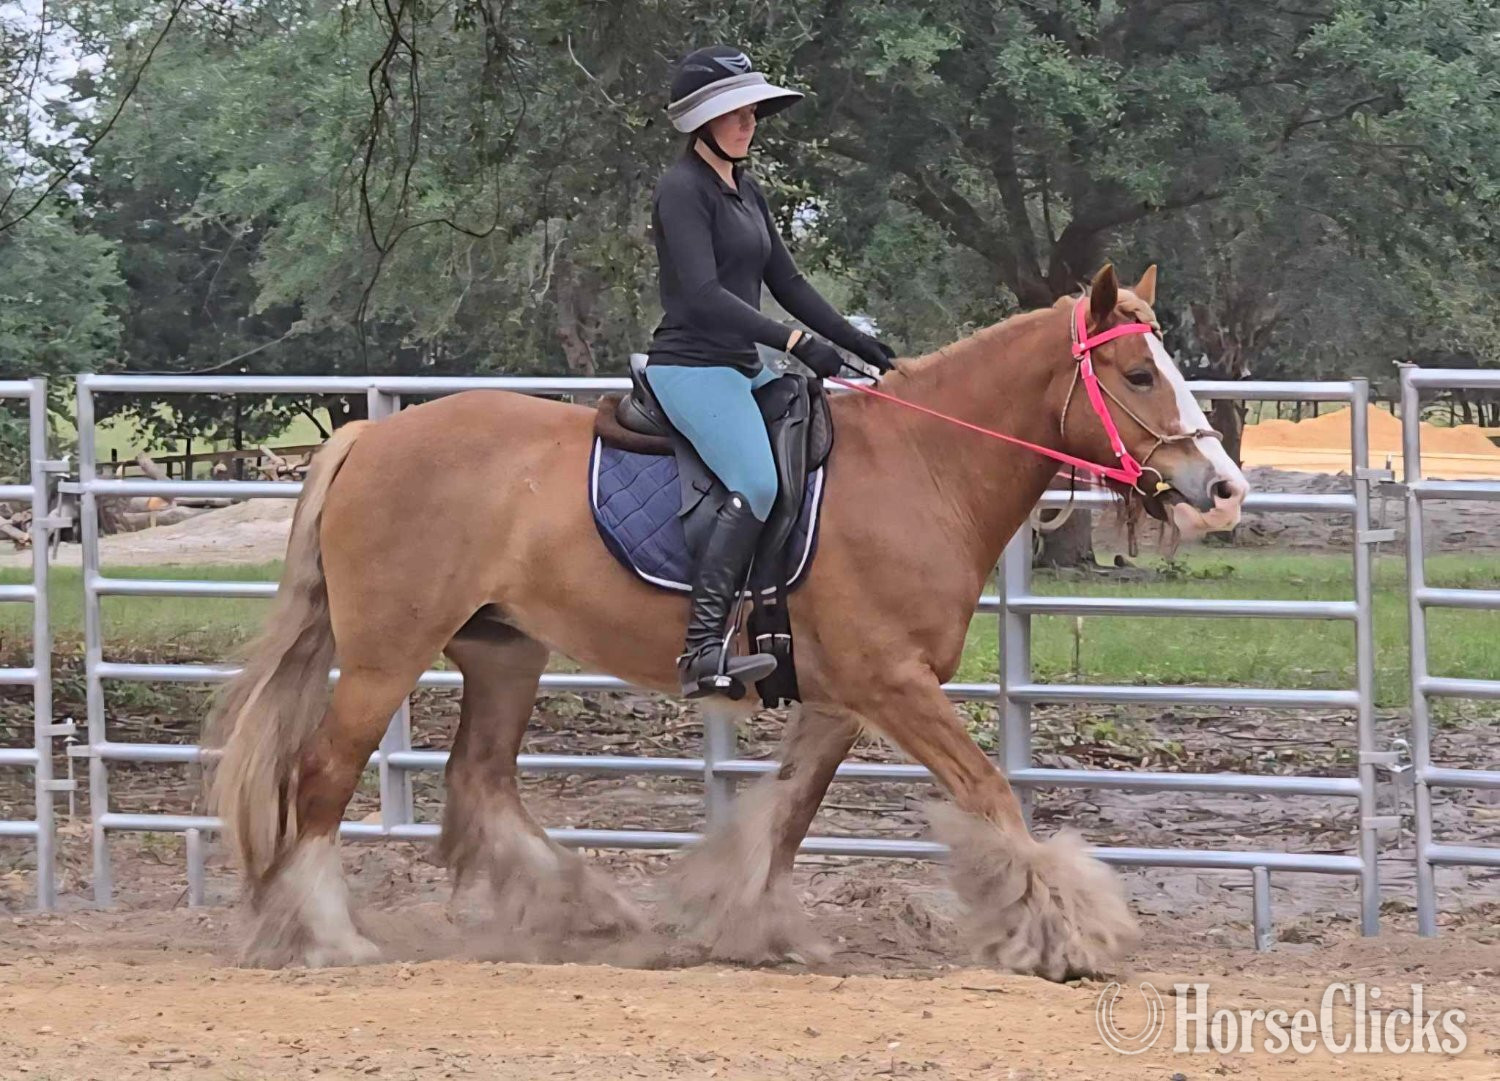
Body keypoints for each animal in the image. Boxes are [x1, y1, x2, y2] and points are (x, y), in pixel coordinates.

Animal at [207, 264, 1247, 979]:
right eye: (1136, 373)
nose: (1224, 488)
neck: (925, 466)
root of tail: (370, 434)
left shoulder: (841, 698)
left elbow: (784, 815)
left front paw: (747, 925)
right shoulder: (896, 685)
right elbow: (991, 793)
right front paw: (1065, 932)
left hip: (504, 652)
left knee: (482, 782)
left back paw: (595, 913)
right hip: (385, 658)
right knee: (320, 777)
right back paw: (329, 939)